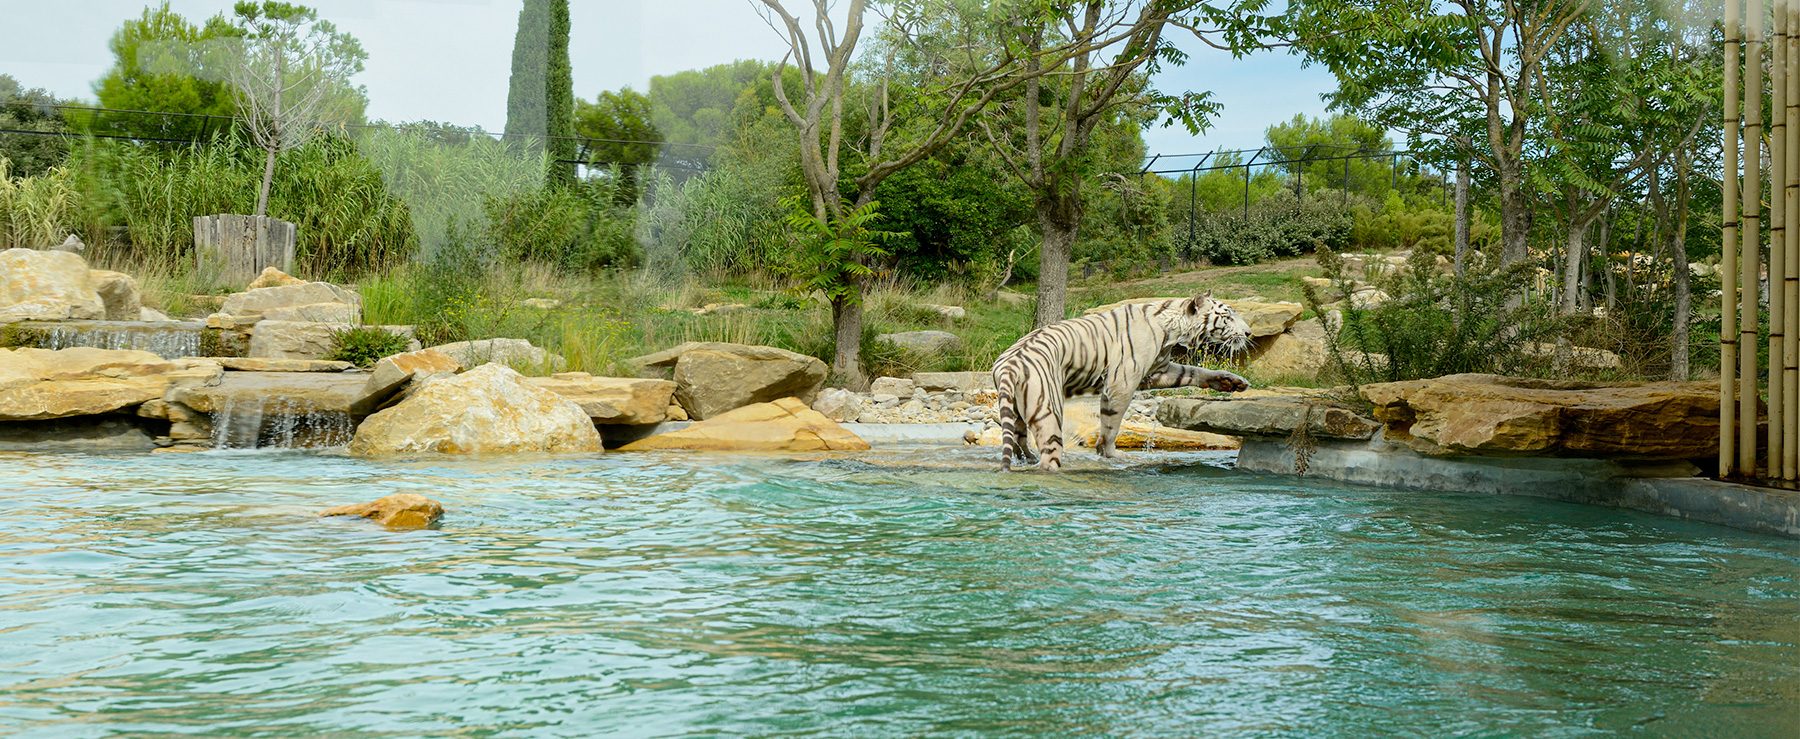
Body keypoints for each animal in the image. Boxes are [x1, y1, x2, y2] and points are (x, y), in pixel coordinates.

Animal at [986, 293, 1252, 471]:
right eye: (1227, 316)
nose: (1249, 333)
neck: (1172, 330)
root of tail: (1008, 367)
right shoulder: (1122, 381)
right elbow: (1111, 424)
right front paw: (1110, 453)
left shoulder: (1159, 370)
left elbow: (1193, 370)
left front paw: (1230, 381)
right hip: (1048, 409)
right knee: (1048, 455)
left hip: (1017, 408)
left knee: (1019, 439)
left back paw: (1027, 457)